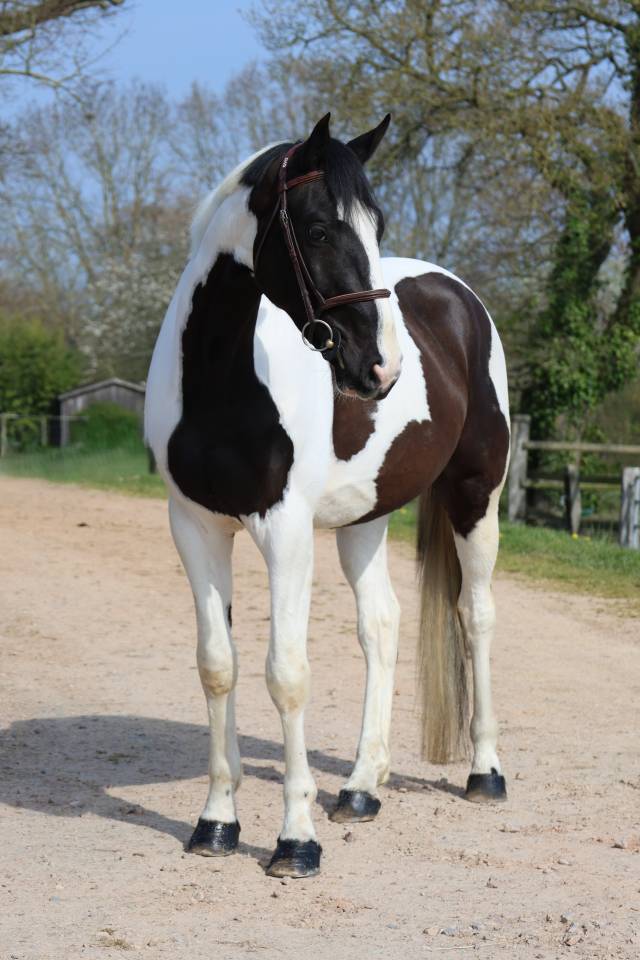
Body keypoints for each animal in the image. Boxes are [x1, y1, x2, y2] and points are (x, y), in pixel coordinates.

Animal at [144, 113, 510, 879]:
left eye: (377, 224)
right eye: (315, 229)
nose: (383, 367)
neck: (222, 378)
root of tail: (459, 297)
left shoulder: (284, 532)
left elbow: (286, 673)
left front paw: (295, 840)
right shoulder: (195, 526)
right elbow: (217, 666)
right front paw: (216, 823)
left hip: (476, 495)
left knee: (476, 614)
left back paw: (485, 773)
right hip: (365, 517)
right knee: (383, 624)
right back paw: (362, 788)